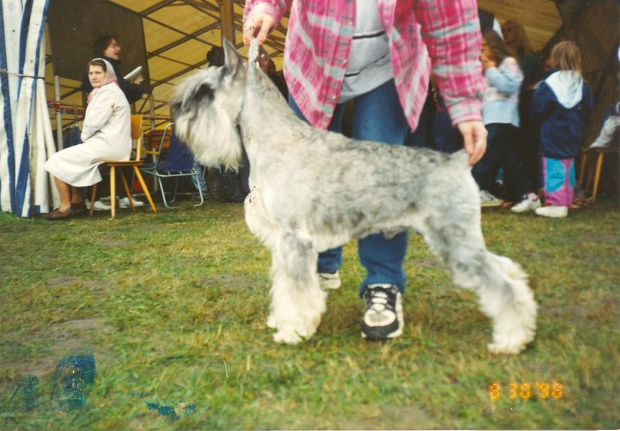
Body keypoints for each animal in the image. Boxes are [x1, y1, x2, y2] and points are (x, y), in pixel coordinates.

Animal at [171, 39, 536, 354]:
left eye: (205, 89)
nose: (175, 111)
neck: (276, 139)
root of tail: (458, 160)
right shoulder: (283, 243)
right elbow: (284, 286)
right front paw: (281, 320)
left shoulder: (294, 239)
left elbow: (296, 290)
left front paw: (293, 330)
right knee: (507, 271)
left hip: (455, 240)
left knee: (502, 286)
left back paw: (511, 339)